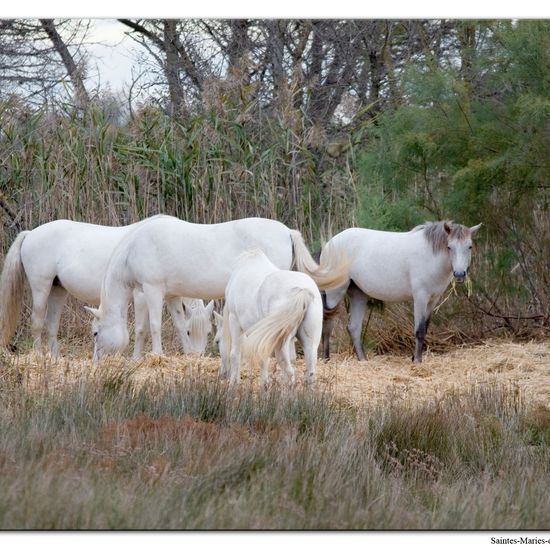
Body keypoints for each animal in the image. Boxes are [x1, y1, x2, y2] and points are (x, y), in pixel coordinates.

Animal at [0, 218, 215, 360]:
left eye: (208, 332)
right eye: (191, 332)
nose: (199, 356)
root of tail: (30, 233)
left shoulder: (170, 295)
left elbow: (177, 323)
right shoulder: (142, 295)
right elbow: (142, 328)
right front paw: (136, 359)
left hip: (57, 289)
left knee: (51, 325)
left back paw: (56, 359)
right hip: (41, 287)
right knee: (36, 322)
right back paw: (38, 356)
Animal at [89, 216, 352, 362]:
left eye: (95, 333)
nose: (95, 360)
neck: (134, 247)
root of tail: (287, 231)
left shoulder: (151, 289)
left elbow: (152, 326)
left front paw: (155, 355)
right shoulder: (171, 295)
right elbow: (179, 325)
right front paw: (188, 354)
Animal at [220, 251, 324, 388]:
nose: (222, 375)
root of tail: (303, 291)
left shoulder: (235, 321)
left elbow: (236, 354)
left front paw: (234, 384)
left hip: (280, 343)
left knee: (289, 372)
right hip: (310, 343)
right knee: (310, 373)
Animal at [324, 222, 484, 364]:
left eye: (469, 246)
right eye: (449, 247)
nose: (459, 274)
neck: (431, 255)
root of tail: (330, 243)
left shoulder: (433, 300)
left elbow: (425, 328)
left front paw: (415, 358)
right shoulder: (420, 298)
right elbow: (419, 330)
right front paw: (417, 361)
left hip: (358, 294)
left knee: (354, 327)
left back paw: (363, 360)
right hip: (334, 293)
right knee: (328, 323)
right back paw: (326, 359)